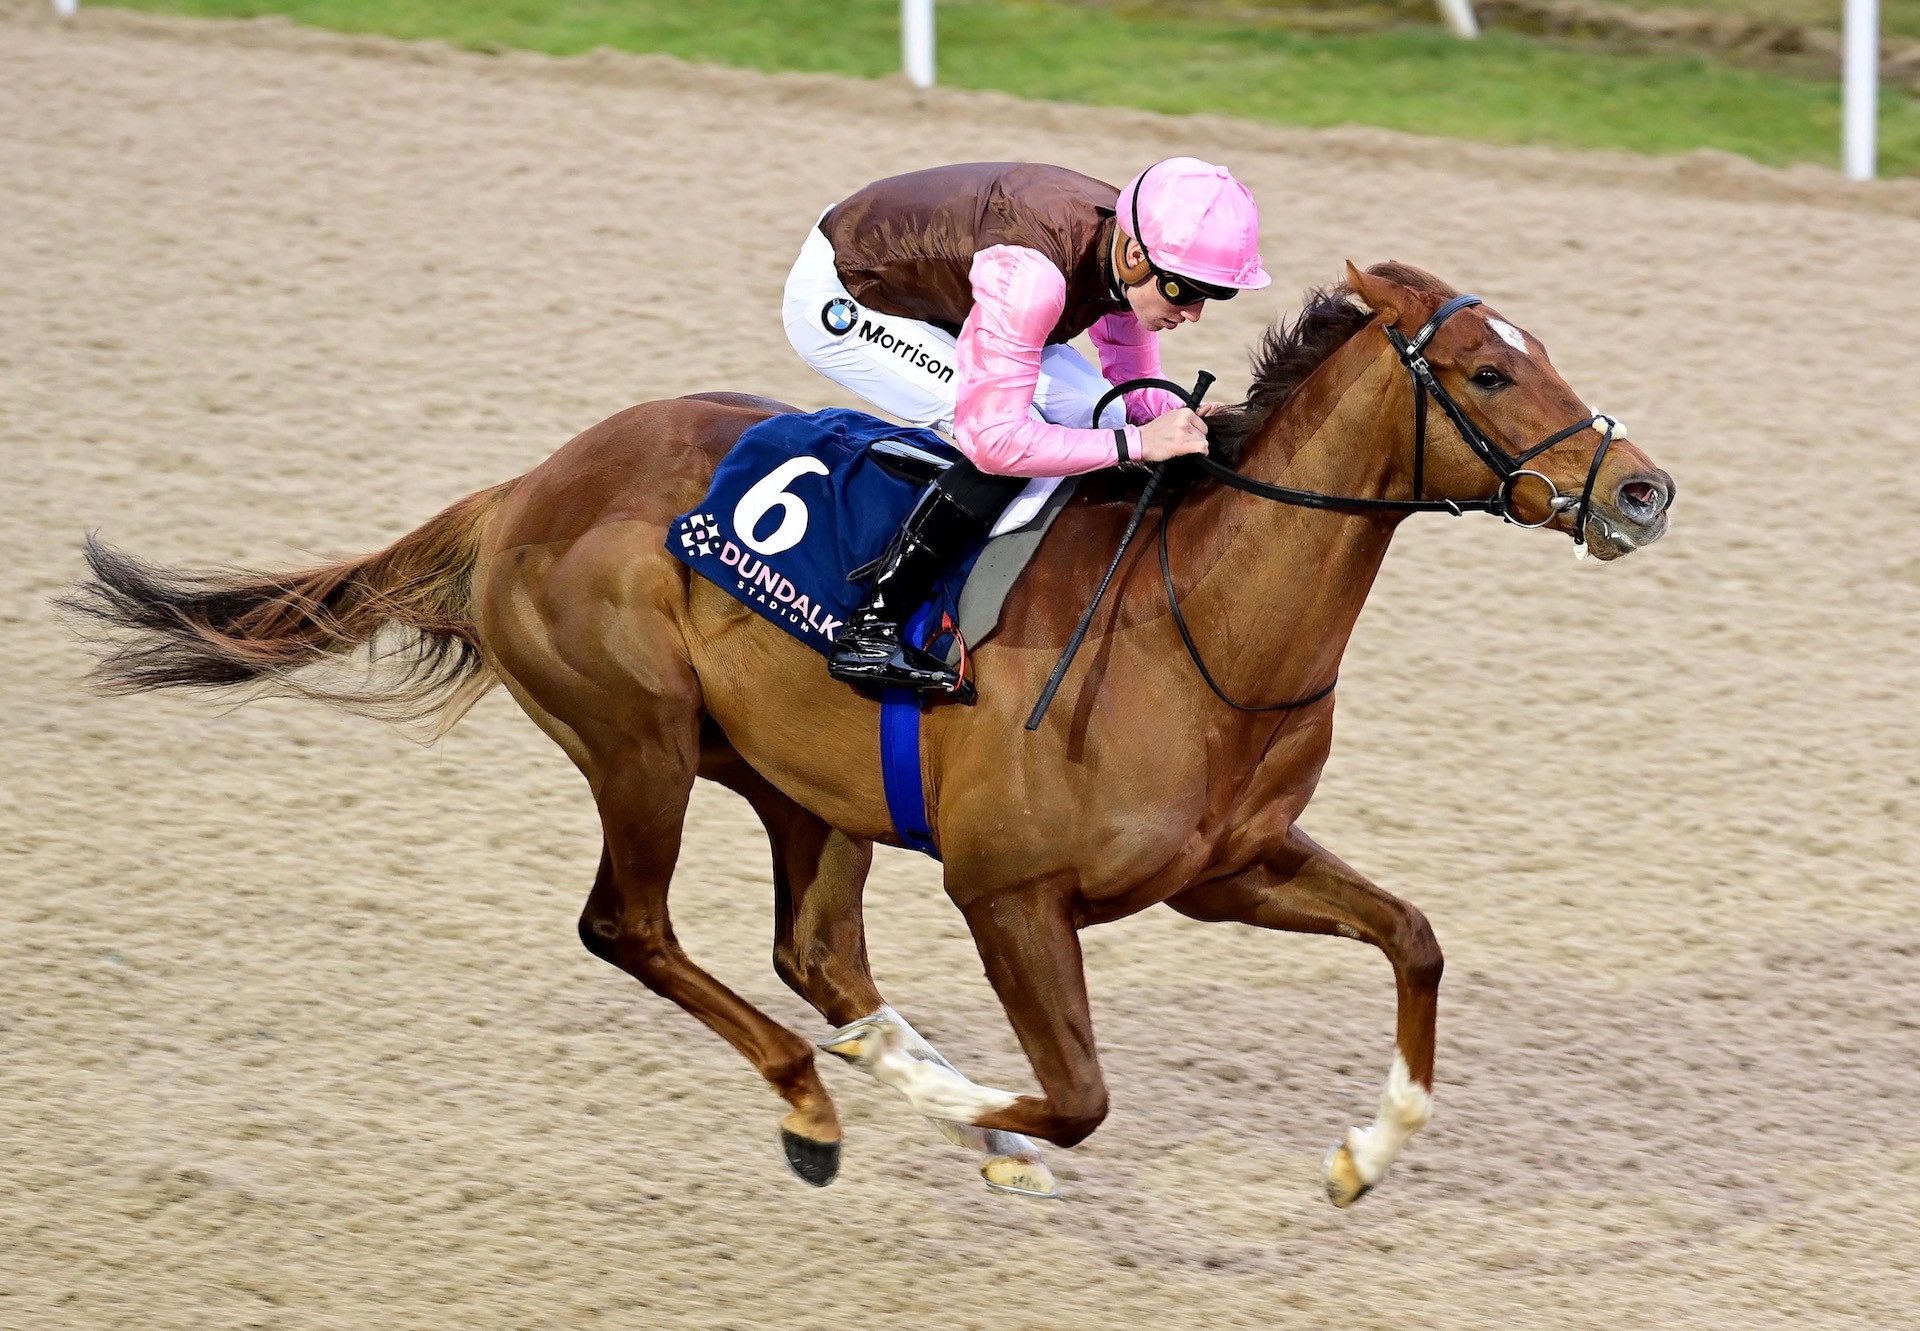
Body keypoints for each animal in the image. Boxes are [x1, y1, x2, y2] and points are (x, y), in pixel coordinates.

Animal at [67, 259, 1674, 1206]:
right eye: (1486, 372)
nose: (1644, 489)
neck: (1196, 621)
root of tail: (526, 485)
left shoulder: (1228, 865)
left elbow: (1415, 938)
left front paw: (1364, 1150)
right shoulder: (1008, 888)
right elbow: (1081, 1092)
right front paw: (975, 1107)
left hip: (804, 781)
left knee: (813, 948)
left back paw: (896, 1082)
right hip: (639, 741)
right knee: (630, 927)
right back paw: (827, 1101)